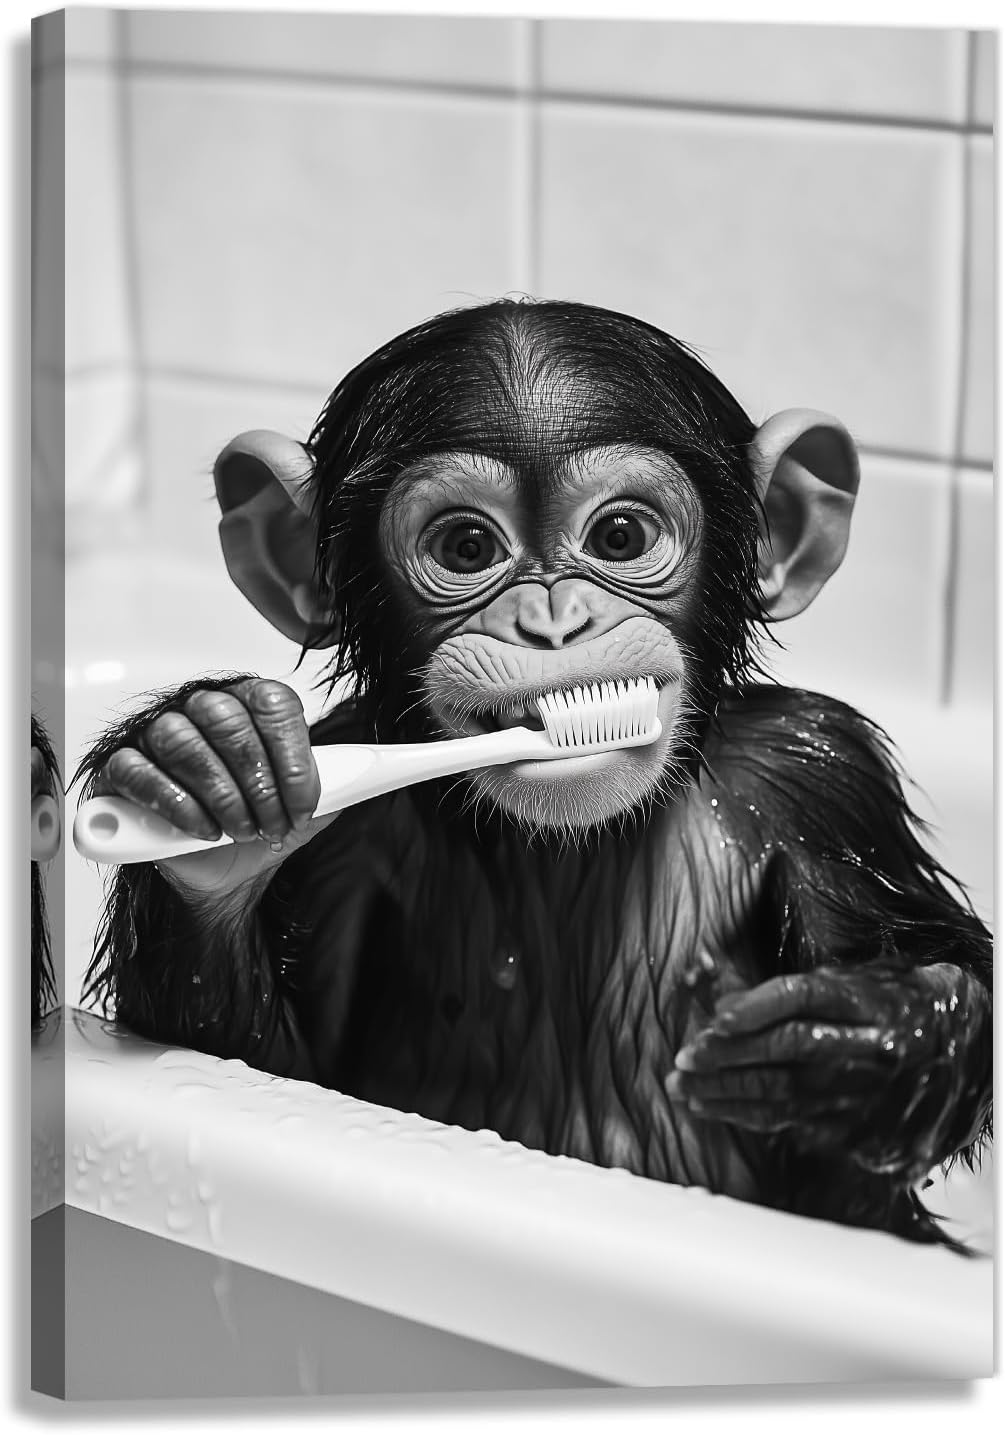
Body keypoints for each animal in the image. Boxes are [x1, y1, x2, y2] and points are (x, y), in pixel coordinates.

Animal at [77, 299, 992, 1246]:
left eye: (619, 535)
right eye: (467, 546)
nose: (553, 621)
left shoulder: (821, 776)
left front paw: (875, 1041)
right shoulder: (340, 791)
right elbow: (264, 1052)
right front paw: (209, 762)